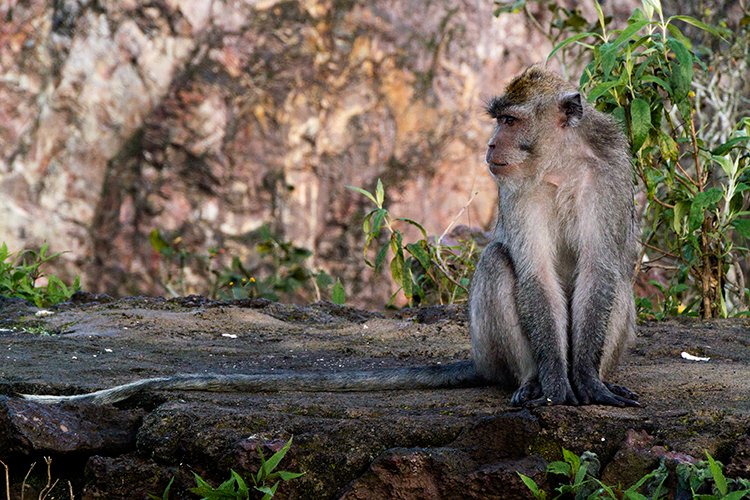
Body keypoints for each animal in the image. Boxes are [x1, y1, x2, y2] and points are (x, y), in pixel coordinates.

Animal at [20, 66, 636, 408]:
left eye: (510, 121)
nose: (490, 145)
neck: (555, 162)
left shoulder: (610, 168)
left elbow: (601, 268)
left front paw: (585, 380)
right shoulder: (516, 185)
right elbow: (531, 274)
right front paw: (554, 381)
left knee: (618, 279)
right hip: (491, 351)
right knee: (499, 265)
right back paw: (529, 380)